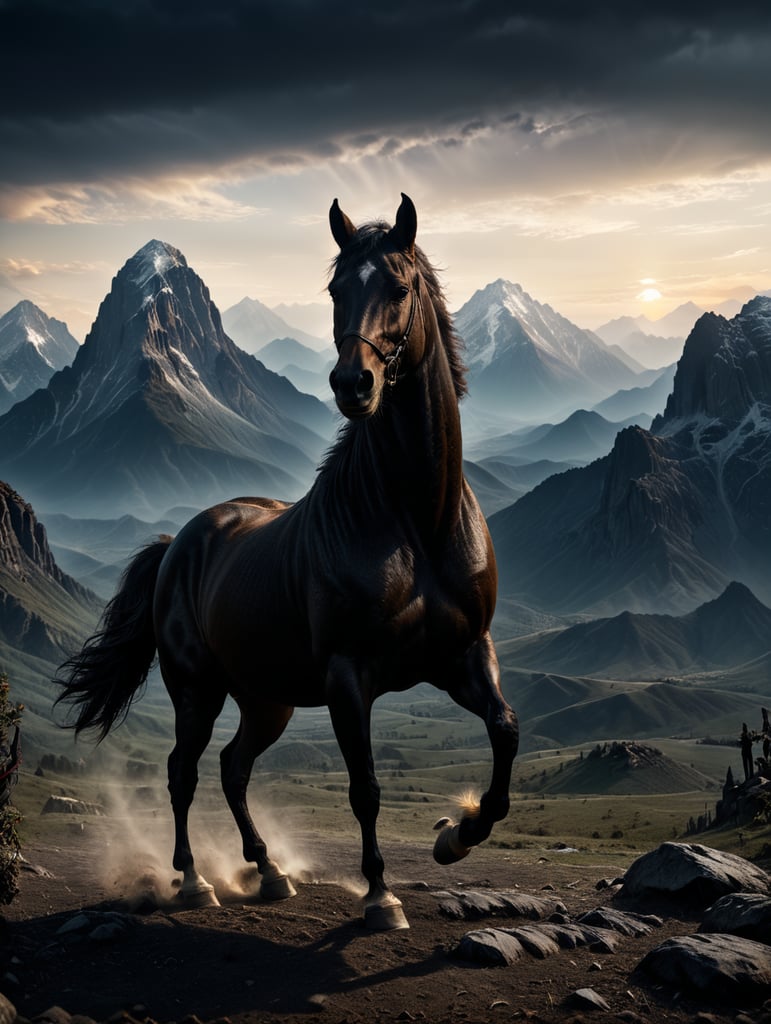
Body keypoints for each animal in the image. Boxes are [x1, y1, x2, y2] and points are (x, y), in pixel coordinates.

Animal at [56, 194, 519, 930]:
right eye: (335, 290)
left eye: (399, 286)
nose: (353, 383)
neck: (415, 522)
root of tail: (178, 544)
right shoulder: (348, 677)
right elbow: (365, 787)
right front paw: (381, 895)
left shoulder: (465, 654)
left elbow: (504, 733)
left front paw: (456, 834)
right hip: (197, 688)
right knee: (183, 770)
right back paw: (194, 881)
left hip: (265, 698)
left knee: (232, 767)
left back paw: (269, 870)